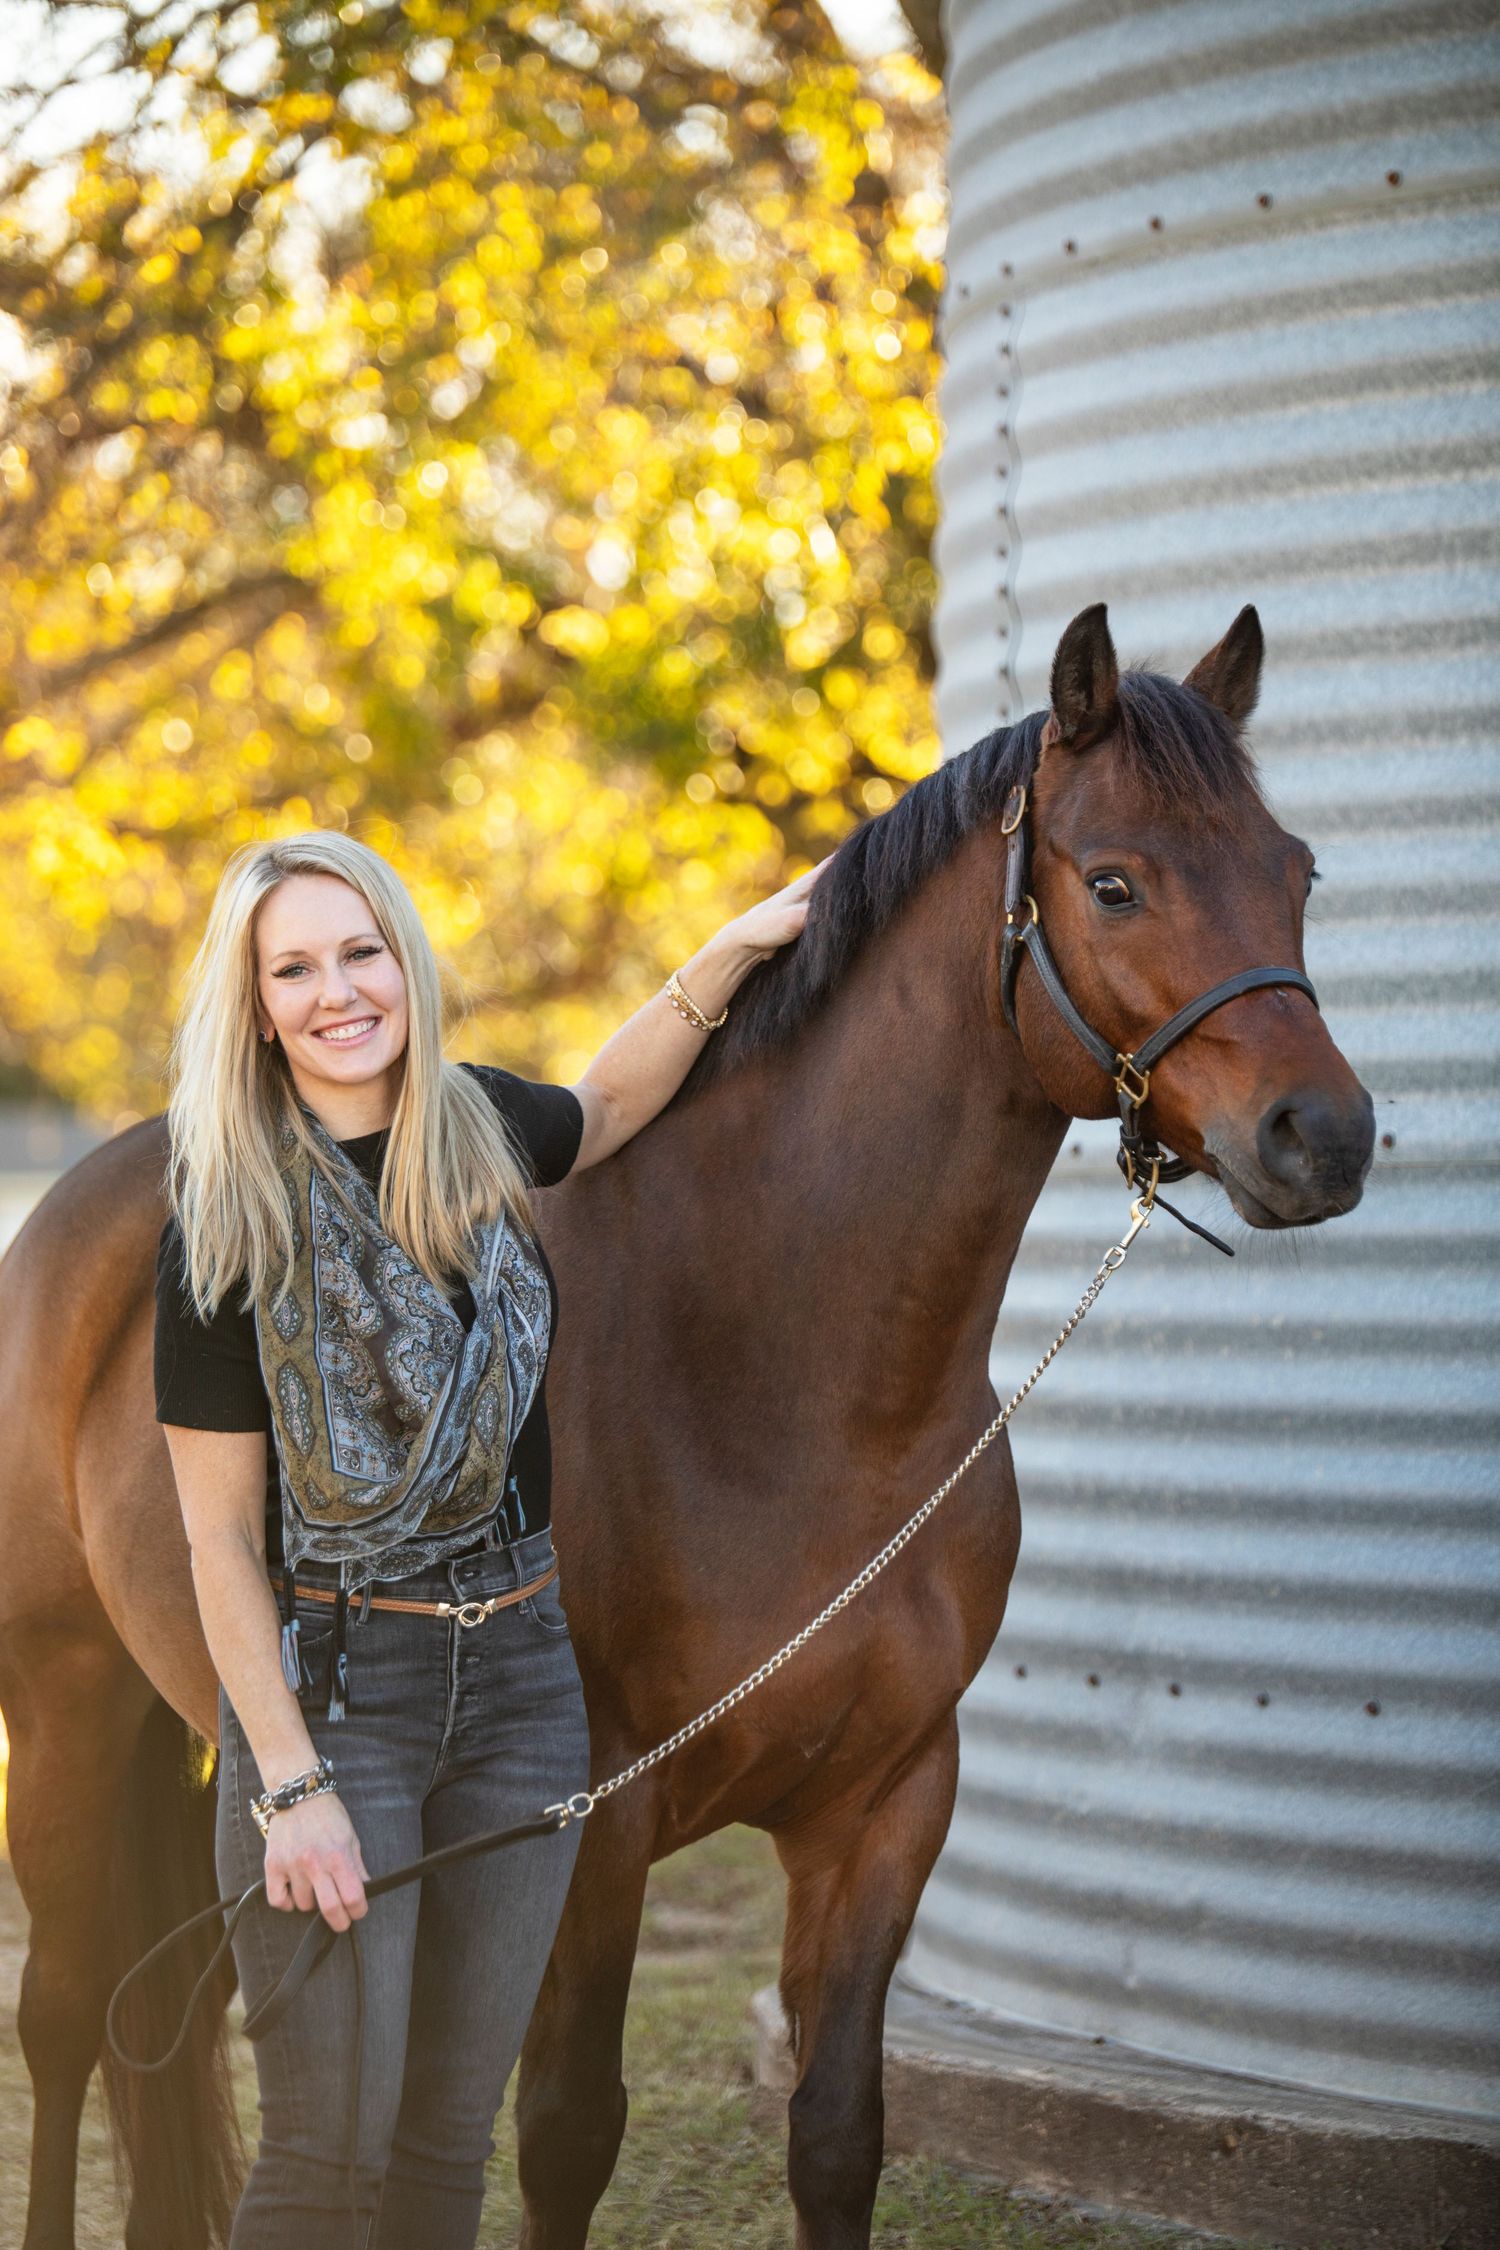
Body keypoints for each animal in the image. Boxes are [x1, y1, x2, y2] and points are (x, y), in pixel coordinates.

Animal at [0, 602, 1375, 2249]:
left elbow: (838, 2131)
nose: (1326, 1136)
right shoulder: (586, 1827)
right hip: (65, 1708)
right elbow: (566, 2130)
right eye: (1115, 880)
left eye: (1296, 868)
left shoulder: (887, 1810)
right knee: (69, 2016)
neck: (791, 1384)